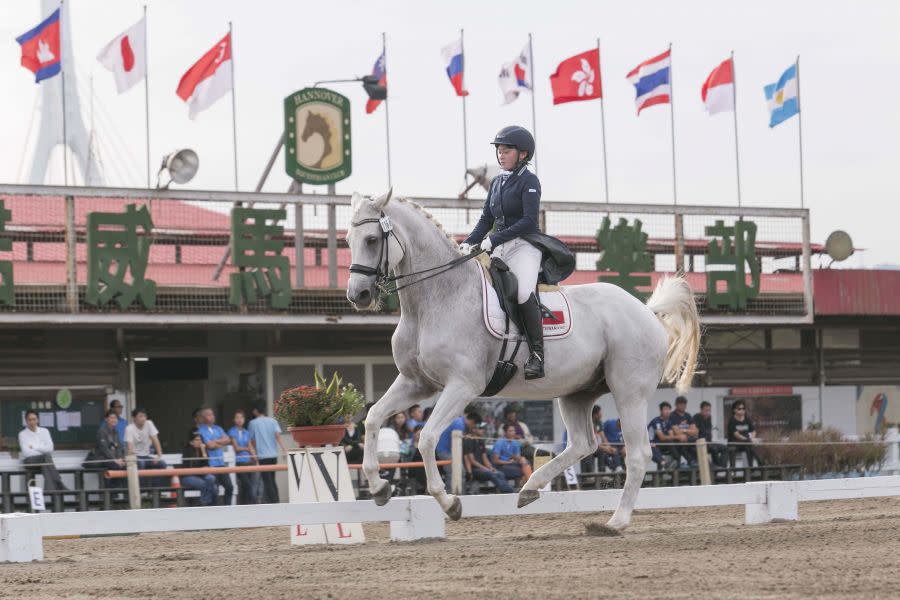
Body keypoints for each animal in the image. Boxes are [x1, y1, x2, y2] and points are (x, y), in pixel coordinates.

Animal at [348, 190, 700, 532]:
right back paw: (530, 488)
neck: (437, 299)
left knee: (638, 454)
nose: (358, 296)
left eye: (372, 240)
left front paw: (449, 503)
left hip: (629, 392)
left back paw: (616, 522)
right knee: (583, 444)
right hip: (577, 393)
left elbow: (427, 438)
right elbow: (374, 418)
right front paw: (379, 488)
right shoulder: (417, 383)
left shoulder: (463, 386)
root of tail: (646, 311)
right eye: (350, 240)